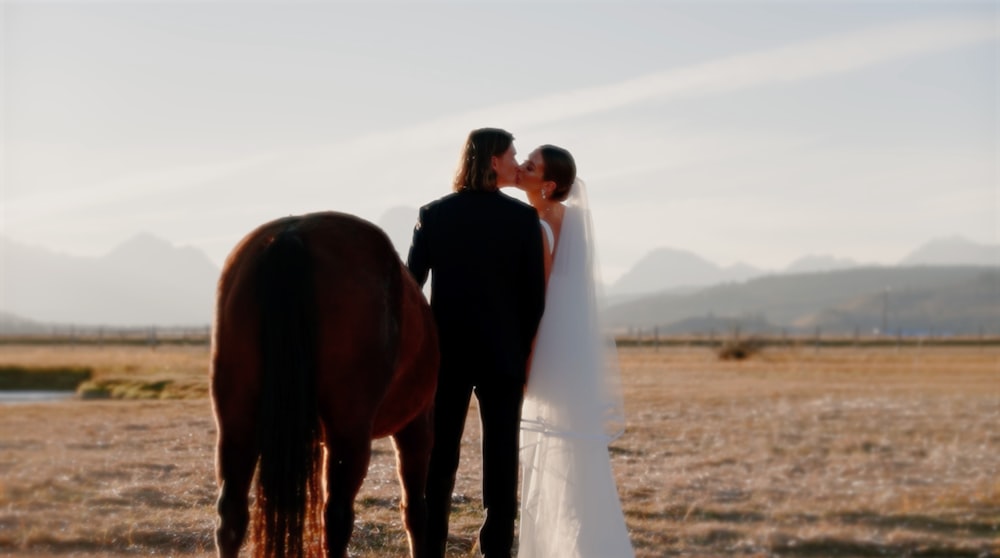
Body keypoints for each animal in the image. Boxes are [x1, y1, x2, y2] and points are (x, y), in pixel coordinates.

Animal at [210, 212, 438, 556]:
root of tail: (291, 235)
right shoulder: (416, 426)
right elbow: (415, 510)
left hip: (237, 423)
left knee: (232, 515)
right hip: (351, 433)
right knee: (337, 517)